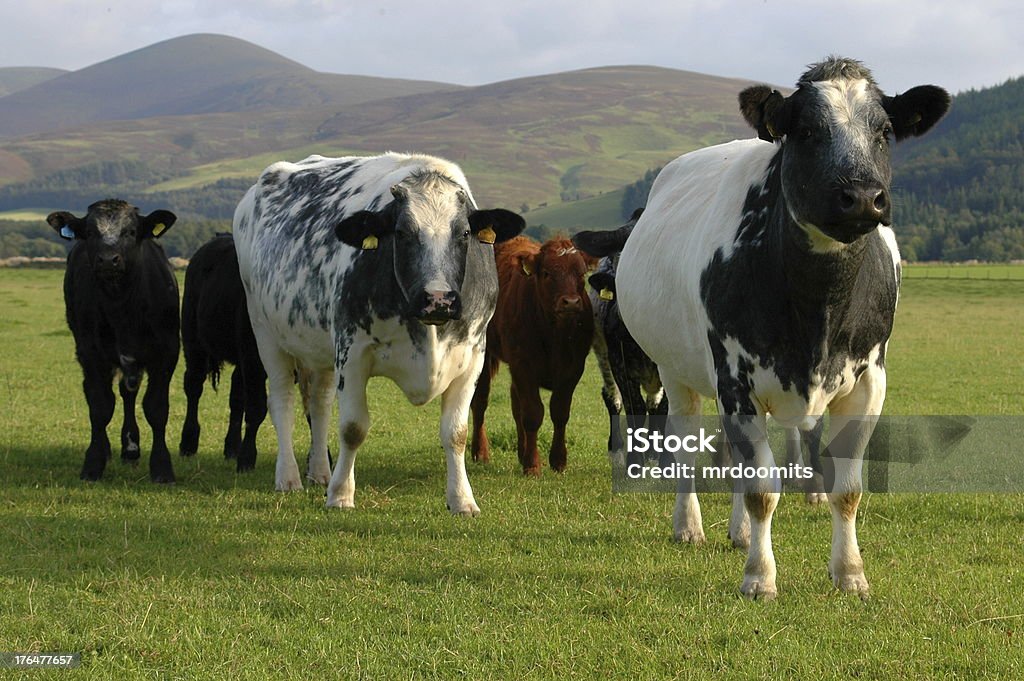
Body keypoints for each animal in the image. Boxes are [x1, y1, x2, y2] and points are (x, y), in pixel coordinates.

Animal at [48, 199, 182, 481]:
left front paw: (162, 467)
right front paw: (93, 463)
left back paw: (131, 447)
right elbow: (100, 406)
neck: (122, 306)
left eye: (130, 231)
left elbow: (156, 408)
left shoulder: (166, 352)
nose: (109, 260)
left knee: (128, 393)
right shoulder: (91, 352)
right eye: (90, 232)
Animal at [234, 148, 524, 509]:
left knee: (320, 403)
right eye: (401, 233)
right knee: (282, 402)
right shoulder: (352, 352)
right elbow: (353, 428)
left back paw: (320, 473)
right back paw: (288, 477)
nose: (438, 299)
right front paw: (341, 495)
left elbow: (456, 433)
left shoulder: (472, 356)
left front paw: (462, 499)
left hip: (321, 348)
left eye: (464, 234)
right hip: (266, 333)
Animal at [468, 236, 598, 475]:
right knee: (480, 401)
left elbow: (559, 412)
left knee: (514, 403)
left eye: (581, 273)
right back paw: (480, 452)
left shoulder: (573, 369)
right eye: (547, 273)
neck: (554, 333)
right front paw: (532, 465)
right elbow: (532, 413)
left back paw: (521, 451)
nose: (571, 302)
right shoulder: (523, 365)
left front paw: (558, 460)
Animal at [573, 206, 667, 464]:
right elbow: (635, 409)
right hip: (603, 356)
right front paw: (634, 462)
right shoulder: (621, 366)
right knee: (612, 398)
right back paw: (617, 451)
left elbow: (662, 408)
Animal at [610, 55, 946, 593]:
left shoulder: (870, 380)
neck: (818, 310)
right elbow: (762, 489)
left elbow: (847, 487)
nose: (862, 196)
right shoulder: (734, 379)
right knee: (686, 443)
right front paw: (759, 577)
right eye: (805, 130)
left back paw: (741, 532)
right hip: (674, 370)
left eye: (884, 131)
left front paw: (850, 573)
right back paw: (690, 526)